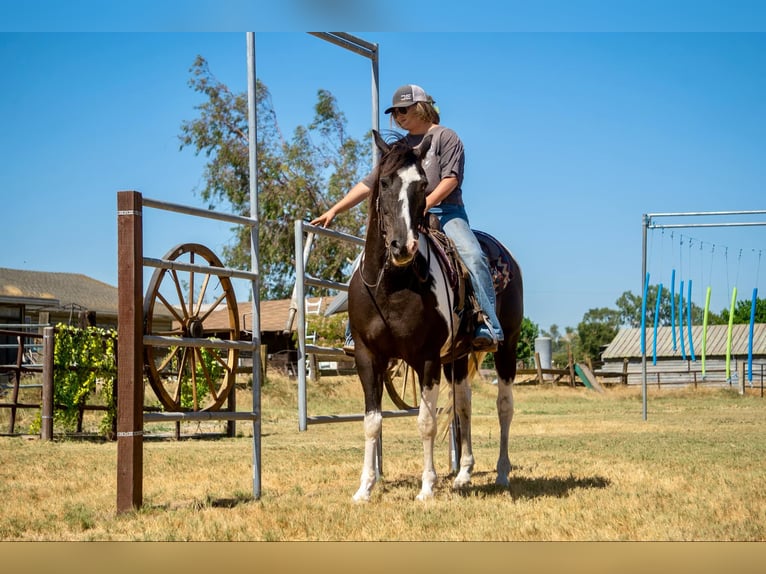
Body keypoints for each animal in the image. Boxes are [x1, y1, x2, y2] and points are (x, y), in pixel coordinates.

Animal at [348, 130, 524, 502]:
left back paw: (502, 473)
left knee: (504, 406)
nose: (403, 246)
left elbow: (425, 422)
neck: (392, 284)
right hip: (456, 357)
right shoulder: (367, 357)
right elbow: (372, 422)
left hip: (507, 347)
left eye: (422, 184)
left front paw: (427, 487)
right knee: (464, 405)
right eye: (383, 182)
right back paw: (464, 474)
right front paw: (365, 489)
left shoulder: (426, 359)